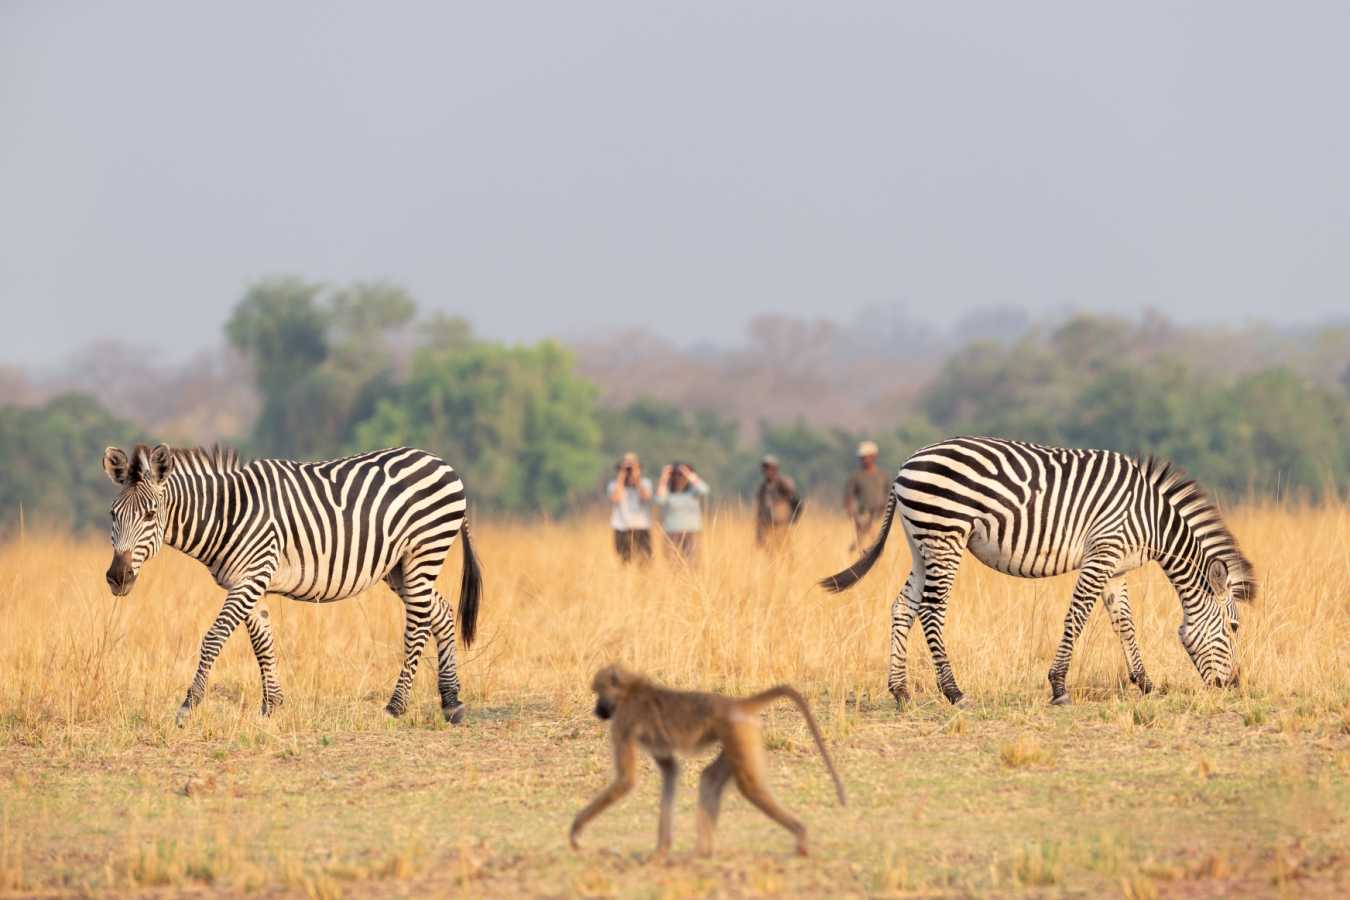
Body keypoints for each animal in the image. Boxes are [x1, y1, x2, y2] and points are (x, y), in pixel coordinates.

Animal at [101, 443, 482, 725]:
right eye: (113, 515)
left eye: (151, 514)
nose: (118, 578)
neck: (227, 514)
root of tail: (442, 463)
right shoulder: (248, 582)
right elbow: (263, 644)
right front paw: (271, 706)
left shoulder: (252, 576)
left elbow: (214, 638)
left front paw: (188, 706)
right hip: (399, 568)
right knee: (442, 612)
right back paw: (452, 702)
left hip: (423, 552)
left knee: (417, 626)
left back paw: (395, 706)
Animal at [569, 664, 847, 858]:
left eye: (598, 692)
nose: (597, 711)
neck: (631, 690)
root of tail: (737, 704)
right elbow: (670, 770)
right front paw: (661, 851)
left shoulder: (623, 721)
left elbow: (625, 781)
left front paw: (575, 831)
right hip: (738, 736)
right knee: (710, 778)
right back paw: (702, 853)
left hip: (736, 732)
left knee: (750, 786)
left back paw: (800, 835)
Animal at [820, 437, 1255, 706]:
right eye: (1234, 627)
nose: (1234, 685)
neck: (1152, 520)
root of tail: (904, 467)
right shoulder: (1101, 553)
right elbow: (1077, 617)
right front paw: (1059, 686)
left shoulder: (1115, 567)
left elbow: (1124, 624)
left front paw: (1145, 682)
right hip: (946, 536)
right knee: (930, 610)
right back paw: (954, 692)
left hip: (921, 543)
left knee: (902, 606)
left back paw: (900, 691)